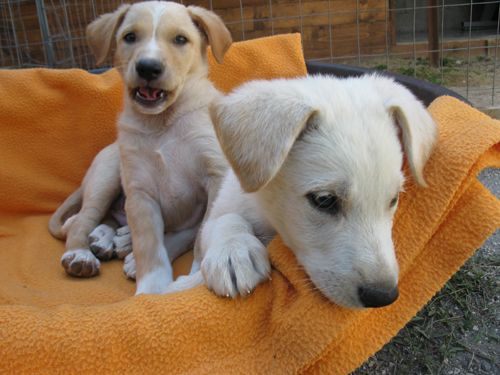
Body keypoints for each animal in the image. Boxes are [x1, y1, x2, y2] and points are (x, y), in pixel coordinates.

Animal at [169, 75, 438, 310]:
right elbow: (225, 220)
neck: (270, 220)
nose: (382, 296)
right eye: (324, 200)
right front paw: (233, 252)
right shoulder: (218, 212)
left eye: (393, 199)